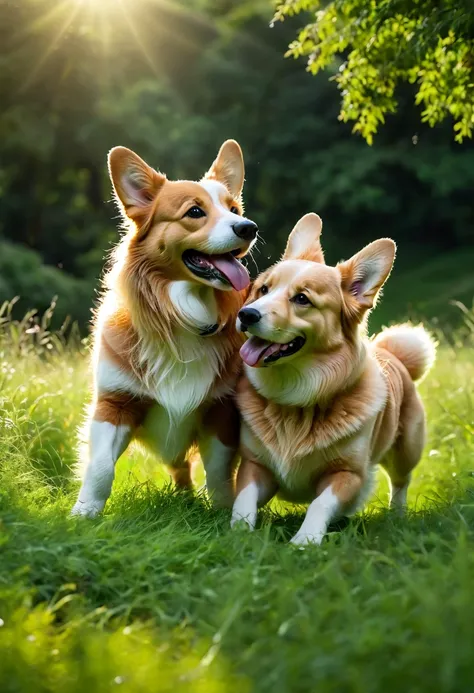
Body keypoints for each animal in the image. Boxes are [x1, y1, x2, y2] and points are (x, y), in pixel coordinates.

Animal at [71, 139, 258, 512]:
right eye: (195, 212)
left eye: (233, 208)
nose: (248, 227)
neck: (182, 317)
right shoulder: (114, 404)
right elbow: (100, 467)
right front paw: (84, 513)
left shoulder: (220, 411)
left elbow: (218, 472)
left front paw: (221, 512)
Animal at [231, 214, 436, 544]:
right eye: (263, 290)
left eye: (302, 299)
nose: (246, 314)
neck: (297, 398)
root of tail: (391, 352)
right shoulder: (254, 465)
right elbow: (244, 498)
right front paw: (238, 531)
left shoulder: (348, 475)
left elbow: (320, 503)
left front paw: (305, 541)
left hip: (407, 449)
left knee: (401, 482)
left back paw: (397, 515)